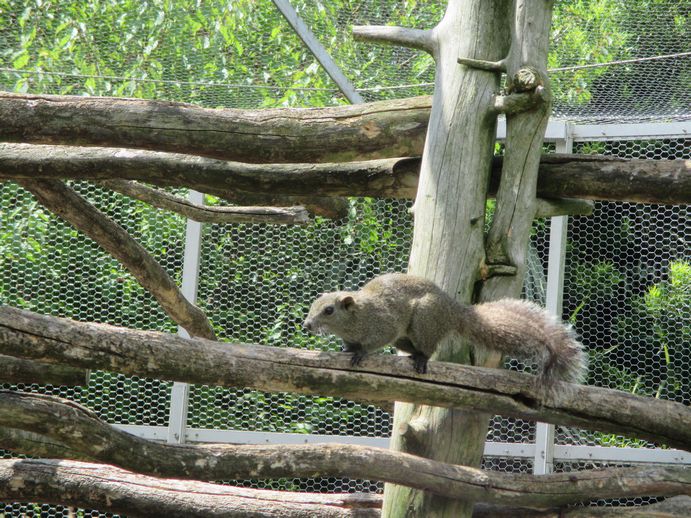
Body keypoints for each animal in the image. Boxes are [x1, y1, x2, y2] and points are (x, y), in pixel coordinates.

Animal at [304, 274, 588, 388]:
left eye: (328, 310)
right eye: (312, 305)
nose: (306, 325)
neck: (357, 318)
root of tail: (454, 312)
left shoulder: (385, 323)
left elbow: (375, 341)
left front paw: (361, 352)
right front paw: (348, 349)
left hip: (424, 320)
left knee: (429, 348)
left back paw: (421, 359)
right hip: (407, 338)